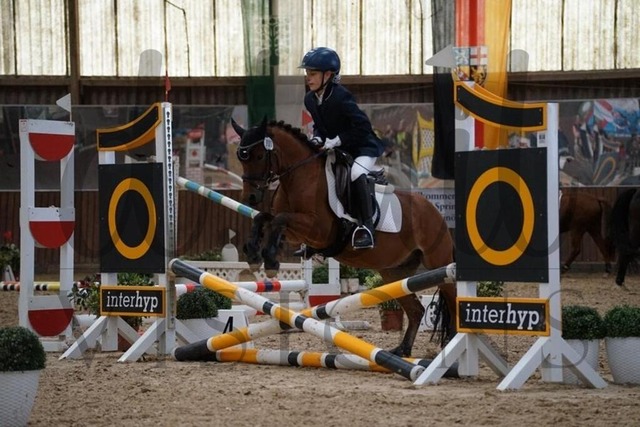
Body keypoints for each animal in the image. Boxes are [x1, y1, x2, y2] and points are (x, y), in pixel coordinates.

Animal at [231, 118, 456, 357]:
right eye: (241, 158)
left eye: (259, 156)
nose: (250, 197)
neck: (299, 177)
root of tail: (434, 211)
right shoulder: (294, 233)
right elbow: (265, 218)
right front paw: (253, 254)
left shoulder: (319, 230)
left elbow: (279, 219)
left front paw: (271, 260)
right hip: (394, 273)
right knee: (415, 310)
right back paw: (401, 349)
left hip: (438, 263)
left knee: (452, 300)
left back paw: (450, 343)